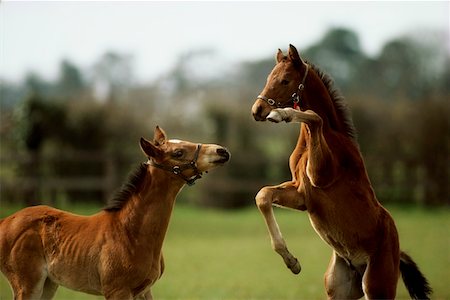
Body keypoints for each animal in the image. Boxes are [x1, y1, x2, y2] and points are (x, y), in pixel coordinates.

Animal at [0, 125, 230, 298]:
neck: (130, 232)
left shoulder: (144, 291)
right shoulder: (117, 291)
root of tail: (5, 221)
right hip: (27, 285)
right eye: (178, 152)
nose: (222, 151)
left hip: (48, 284)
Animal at [251, 45, 430, 300]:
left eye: (285, 80)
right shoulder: (302, 195)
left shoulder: (320, 176)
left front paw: (281, 114)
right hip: (338, 287)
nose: (258, 110)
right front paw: (292, 262)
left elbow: (315, 116)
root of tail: (398, 253)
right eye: (268, 78)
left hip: (378, 286)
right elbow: (263, 195)